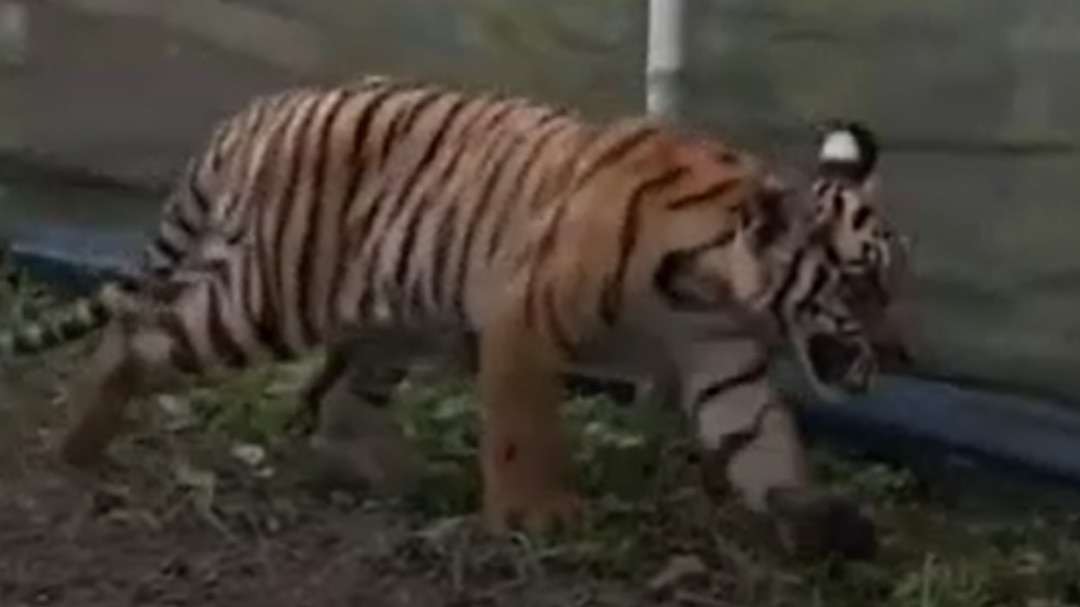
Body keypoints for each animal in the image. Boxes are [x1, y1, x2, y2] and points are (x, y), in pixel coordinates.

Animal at [0, 76, 910, 560]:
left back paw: (374, 477)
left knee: (341, 400)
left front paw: (818, 518)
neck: (713, 287)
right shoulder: (522, 321)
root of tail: (258, 109)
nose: (901, 353)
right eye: (862, 284)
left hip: (386, 320)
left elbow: (764, 442)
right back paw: (78, 445)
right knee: (137, 331)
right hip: (264, 299)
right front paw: (534, 515)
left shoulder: (721, 359)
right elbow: (521, 427)